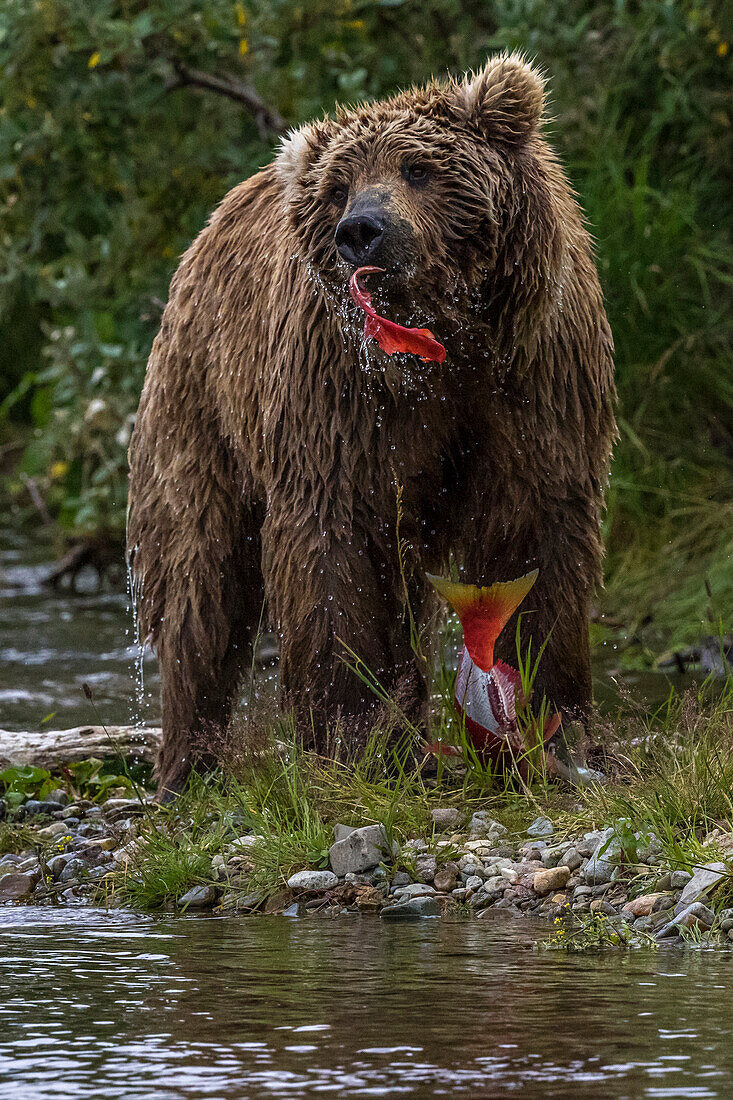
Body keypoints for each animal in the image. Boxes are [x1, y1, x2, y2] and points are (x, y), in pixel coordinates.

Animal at [128, 55, 611, 796]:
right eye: (338, 188)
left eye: (417, 167)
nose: (360, 229)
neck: (445, 342)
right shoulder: (340, 401)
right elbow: (334, 550)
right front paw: (352, 739)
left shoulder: (534, 381)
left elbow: (538, 537)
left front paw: (559, 737)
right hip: (201, 401)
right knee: (200, 578)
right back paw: (189, 762)